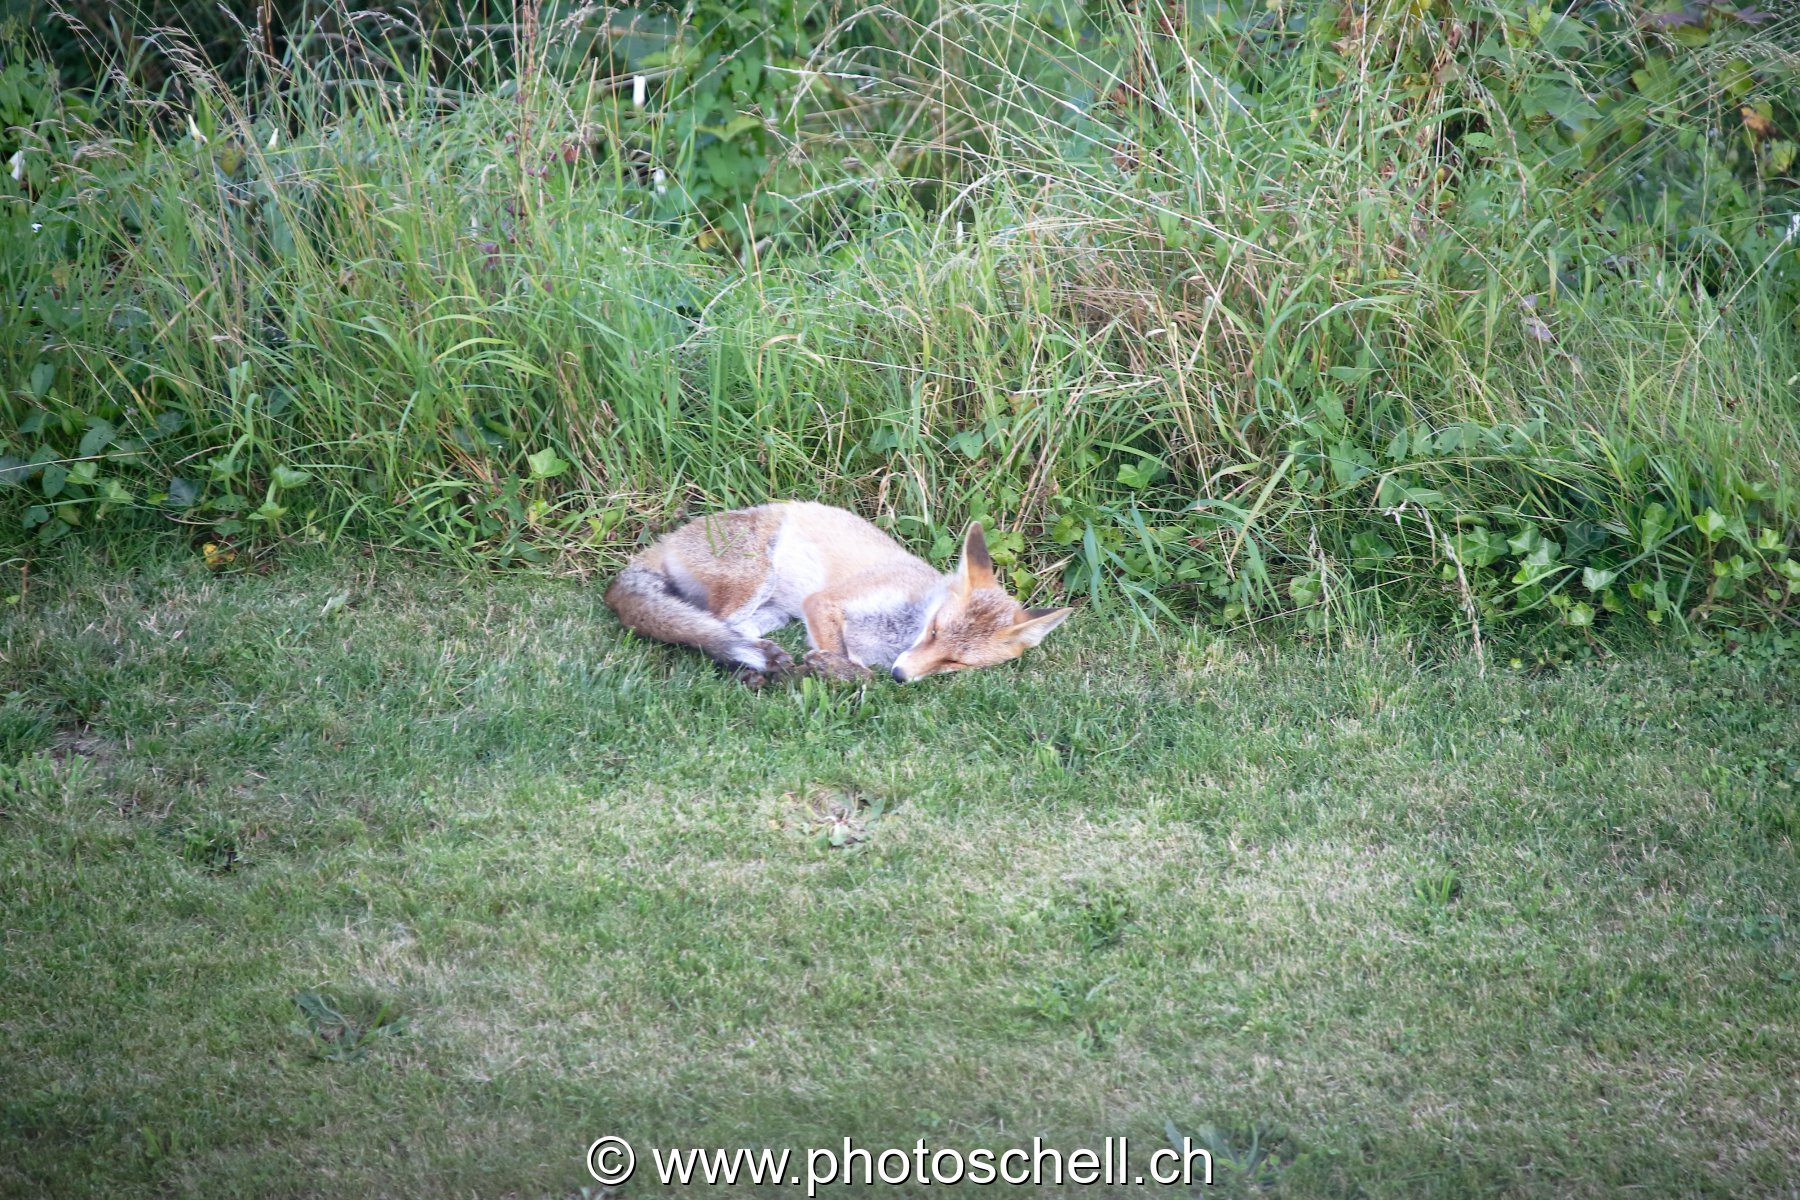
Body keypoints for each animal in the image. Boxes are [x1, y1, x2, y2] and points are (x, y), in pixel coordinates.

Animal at [604, 502, 1072, 685]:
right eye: (935, 631)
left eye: (955, 662)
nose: (902, 675)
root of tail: (662, 542)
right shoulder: (823, 603)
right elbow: (850, 662)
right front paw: (829, 669)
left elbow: (861, 668)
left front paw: (830, 669)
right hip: (753, 581)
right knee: (712, 628)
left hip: (773, 613)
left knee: (729, 633)